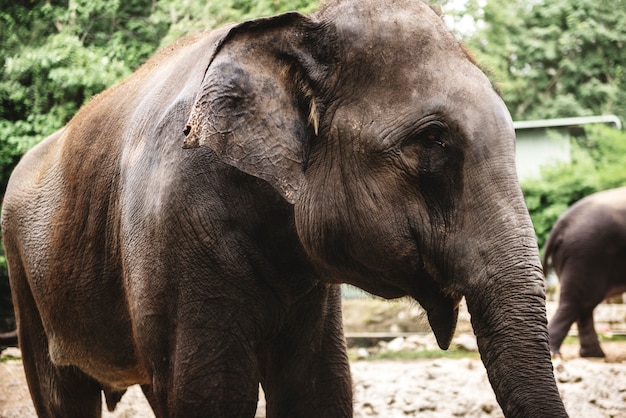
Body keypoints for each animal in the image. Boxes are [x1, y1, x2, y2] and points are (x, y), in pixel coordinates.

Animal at [1, 0, 564, 418]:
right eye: (433, 140)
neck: (301, 24)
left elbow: (316, 389)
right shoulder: (173, 227)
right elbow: (210, 392)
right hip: (25, 278)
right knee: (60, 393)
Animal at [540, 186, 624, 360]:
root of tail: (561, 224)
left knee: (584, 305)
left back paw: (594, 355)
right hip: (588, 254)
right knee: (578, 302)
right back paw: (555, 354)